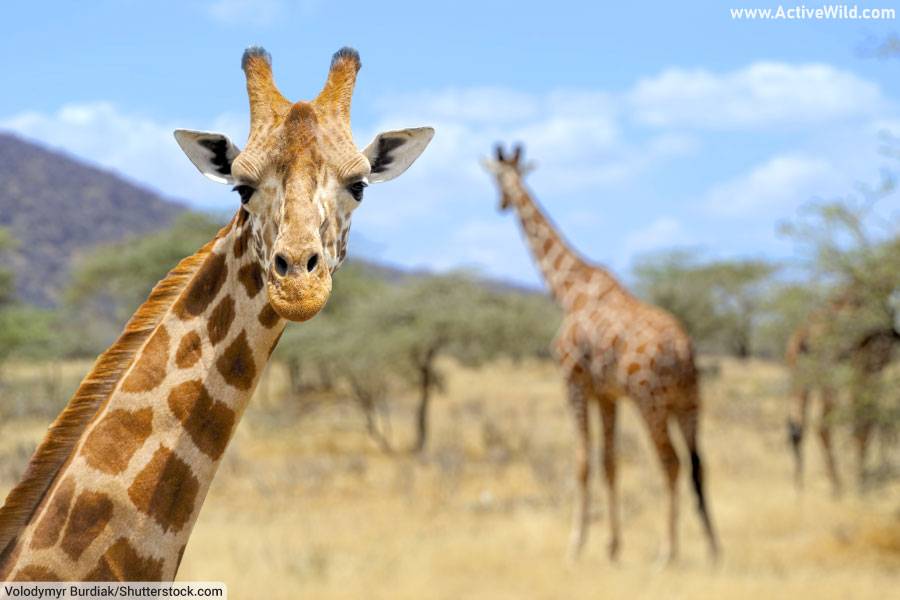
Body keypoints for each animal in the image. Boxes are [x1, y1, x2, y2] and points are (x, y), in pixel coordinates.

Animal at [482, 144, 720, 564]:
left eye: (497, 178)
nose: (501, 204)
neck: (569, 291)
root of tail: (683, 350)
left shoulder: (574, 381)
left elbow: (582, 461)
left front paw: (575, 546)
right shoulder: (607, 394)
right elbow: (610, 463)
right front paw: (612, 546)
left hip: (650, 401)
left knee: (671, 463)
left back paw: (667, 551)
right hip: (688, 401)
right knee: (697, 464)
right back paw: (711, 547)